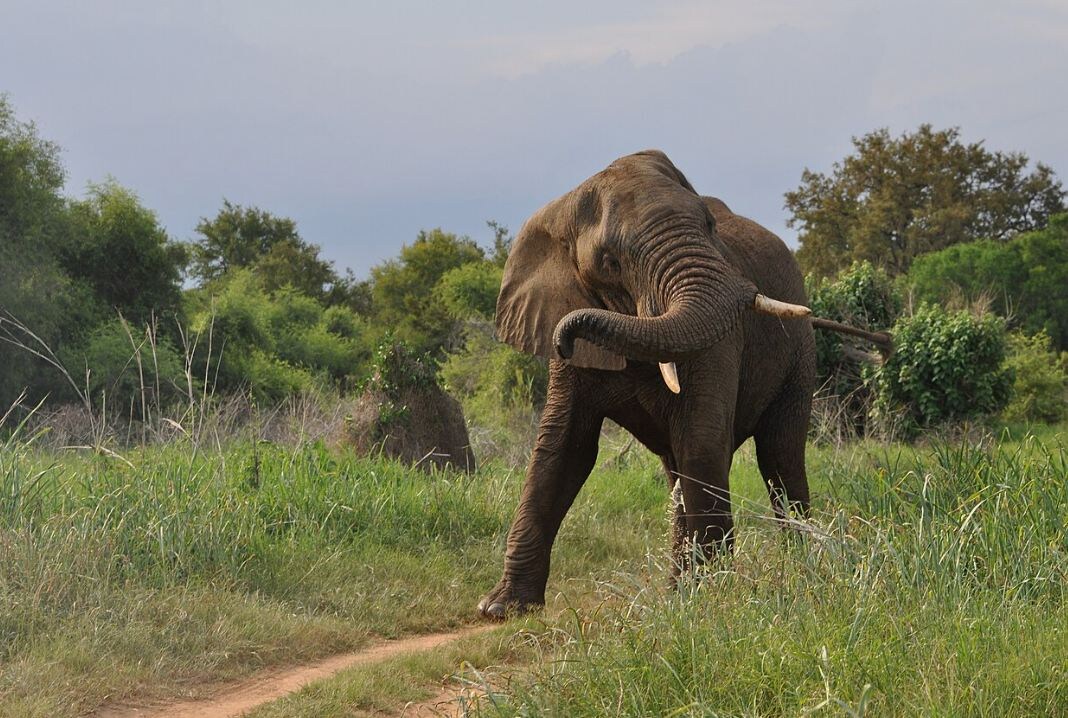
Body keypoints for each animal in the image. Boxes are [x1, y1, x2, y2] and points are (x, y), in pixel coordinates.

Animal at [477, 150, 887, 620]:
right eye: (609, 263)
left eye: (709, 225)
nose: (566, 336)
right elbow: (562, 450)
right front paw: (501, 608)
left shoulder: (723, 340)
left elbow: (702, 441)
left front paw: (714, 599)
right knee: (680, 472)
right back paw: (679, 590)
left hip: (801, 356)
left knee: (779, 456)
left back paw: (798, 565)